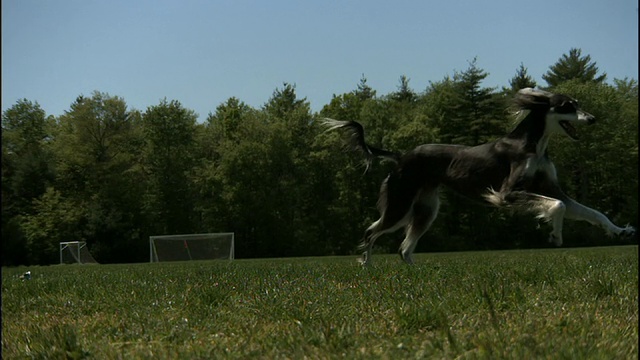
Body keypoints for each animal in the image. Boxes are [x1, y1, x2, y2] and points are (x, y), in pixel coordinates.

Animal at [324, 88, 636, 264]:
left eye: (577, 103)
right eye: (567, 106)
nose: (593, 119)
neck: (532, 144)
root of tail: (401, 156)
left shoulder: (552, 188)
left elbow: (593, 213)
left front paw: (620, 231)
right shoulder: (507, 193)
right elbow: (556, 207)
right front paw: (555, 234)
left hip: (426, 208)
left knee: (404, 248)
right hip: (401, 203)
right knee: (372, 232)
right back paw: (366, 265)